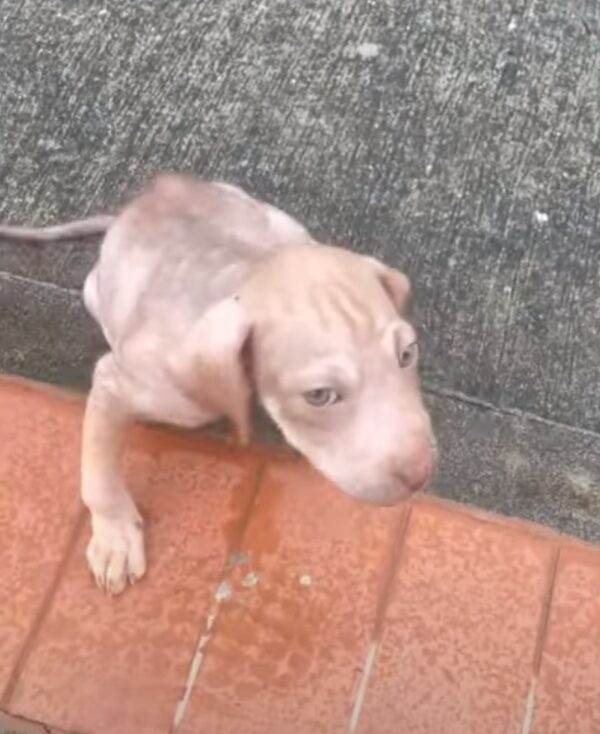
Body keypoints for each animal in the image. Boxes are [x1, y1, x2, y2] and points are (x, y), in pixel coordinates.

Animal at [0, 177, 434, 600]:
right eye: (319, 396)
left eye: (408, 354)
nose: (422, 473)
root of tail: (150, 193)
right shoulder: (119, 381)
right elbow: (99, 473)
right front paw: (115, 538)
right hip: (97, 292)